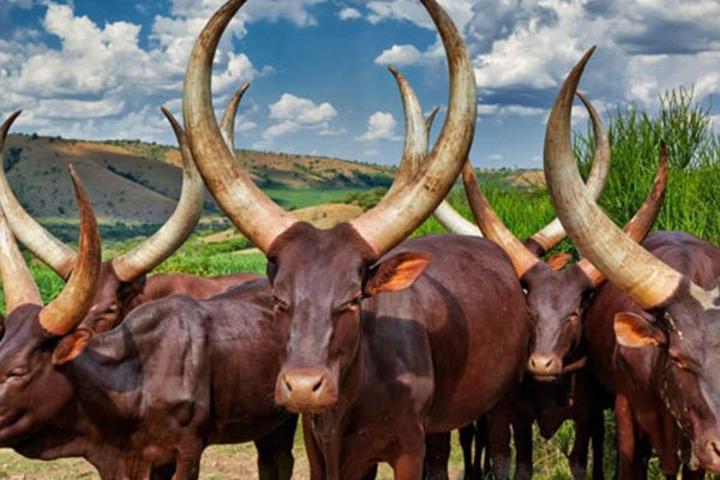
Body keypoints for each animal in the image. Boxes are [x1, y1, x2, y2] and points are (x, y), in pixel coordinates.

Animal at [182, 0, 533, 478]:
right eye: (278, 301)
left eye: (352, 300)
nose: (303, 387)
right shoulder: (323, 449)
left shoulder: (407, 448)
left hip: (499, 401)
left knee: (498, 452)